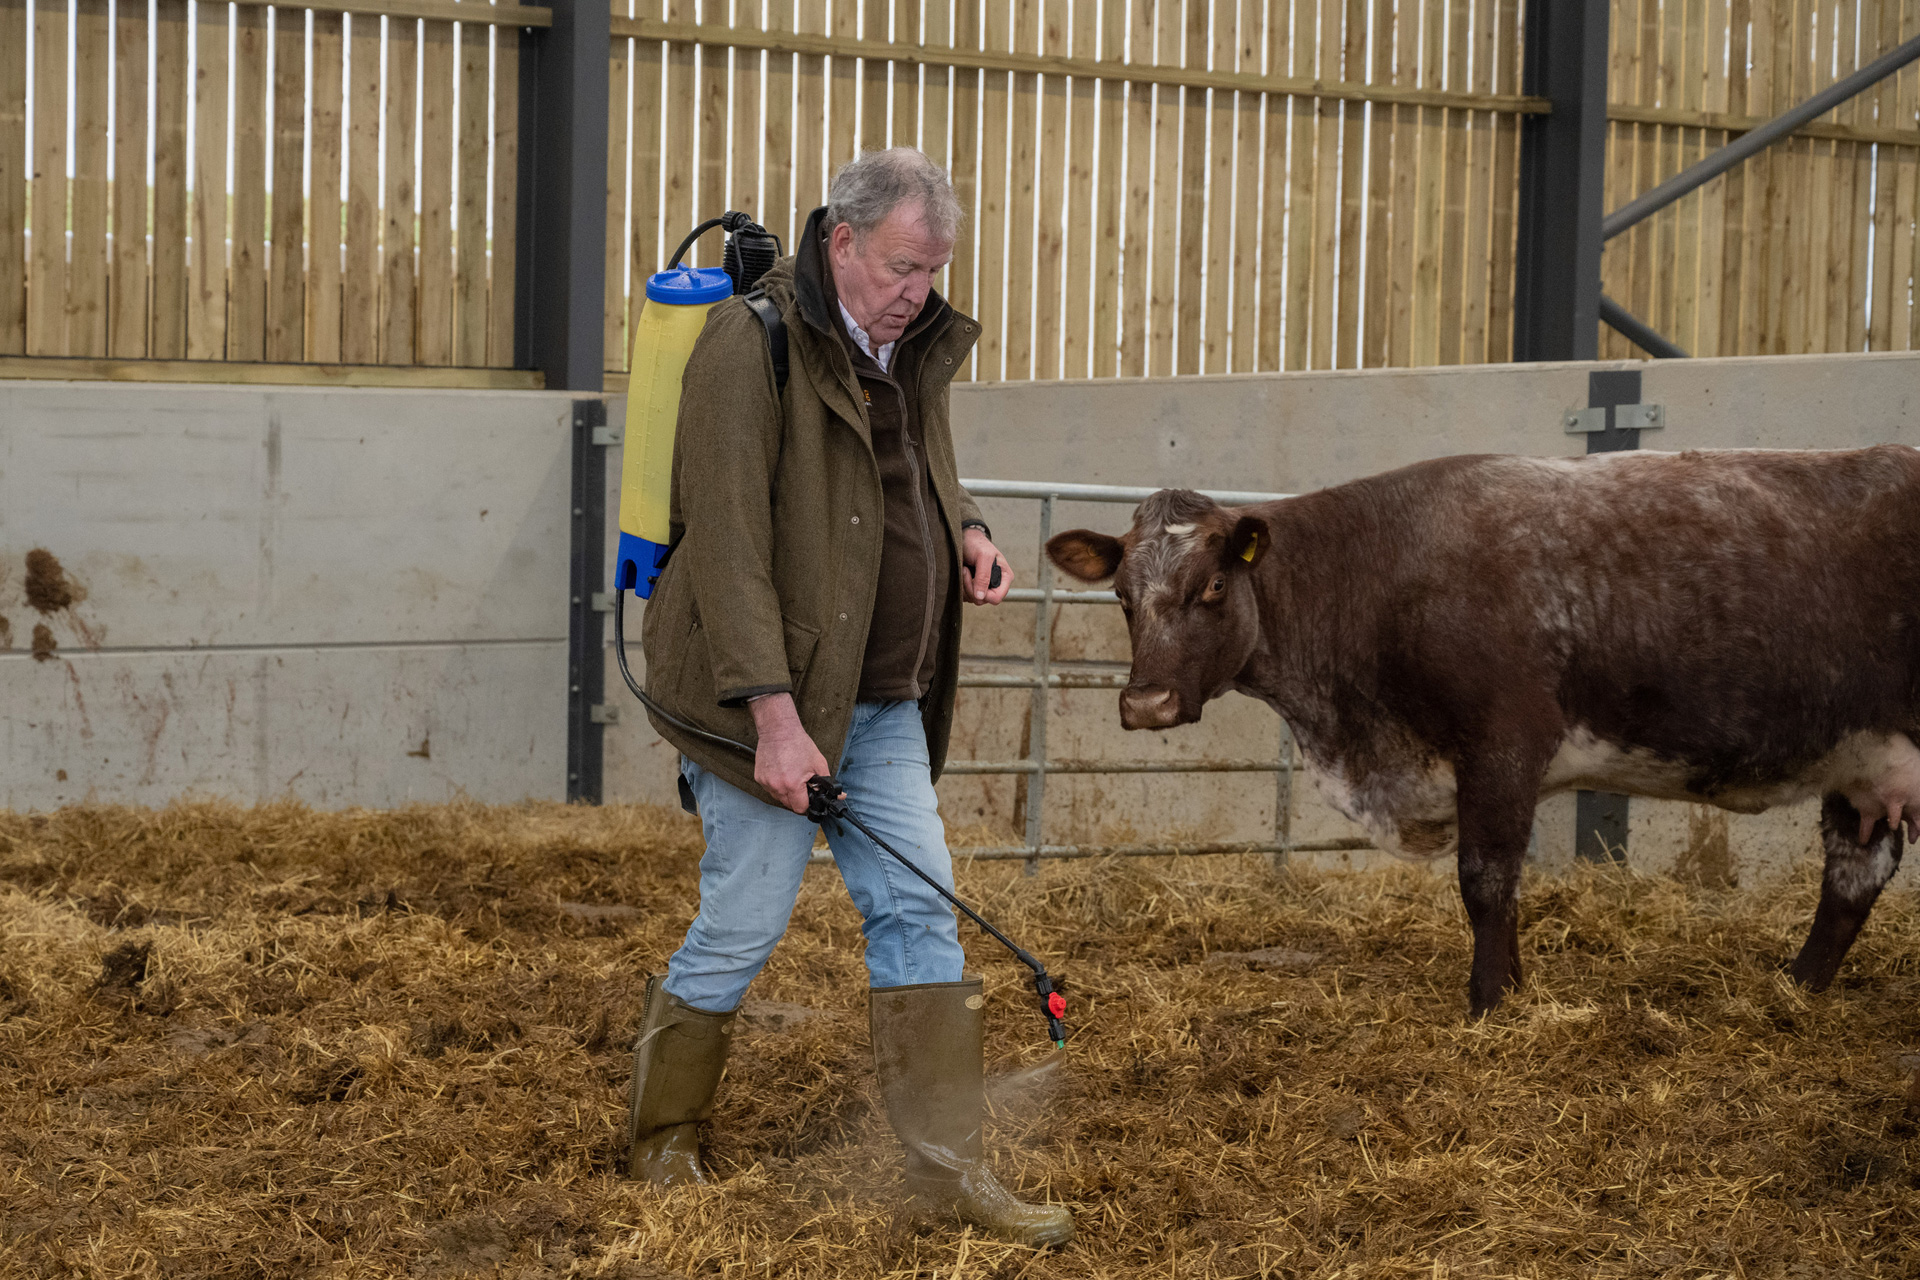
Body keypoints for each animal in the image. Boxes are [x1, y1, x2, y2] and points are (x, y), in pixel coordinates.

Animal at [1052, 445, 1920, 1013]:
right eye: (1123, 596)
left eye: (1213, 585)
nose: (1147, 704)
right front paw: (1516, 986)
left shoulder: (1504, 743)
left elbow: (1486, 879)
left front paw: (1491, 1000)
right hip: (1865, 764)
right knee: (1853, 876)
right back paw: (1793, 989)